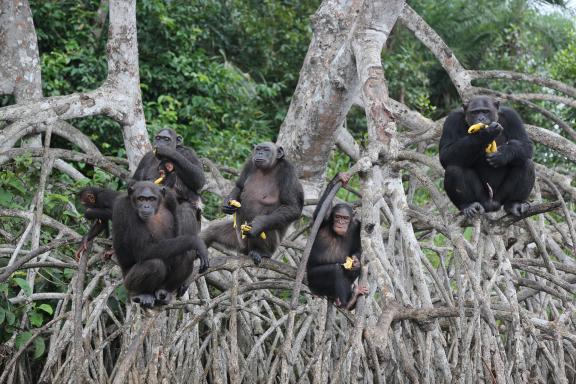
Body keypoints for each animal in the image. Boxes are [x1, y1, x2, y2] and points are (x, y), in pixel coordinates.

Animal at [306, 172, 364, 310]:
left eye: (345, 218)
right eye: (337, 217)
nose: (341, 223)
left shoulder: (357, 226)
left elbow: (358, 248)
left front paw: (356, 262)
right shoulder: (324, 221)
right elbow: (319, 214)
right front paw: (338, 178)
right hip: (313, 282)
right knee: (335, 269)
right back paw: (347, 303)